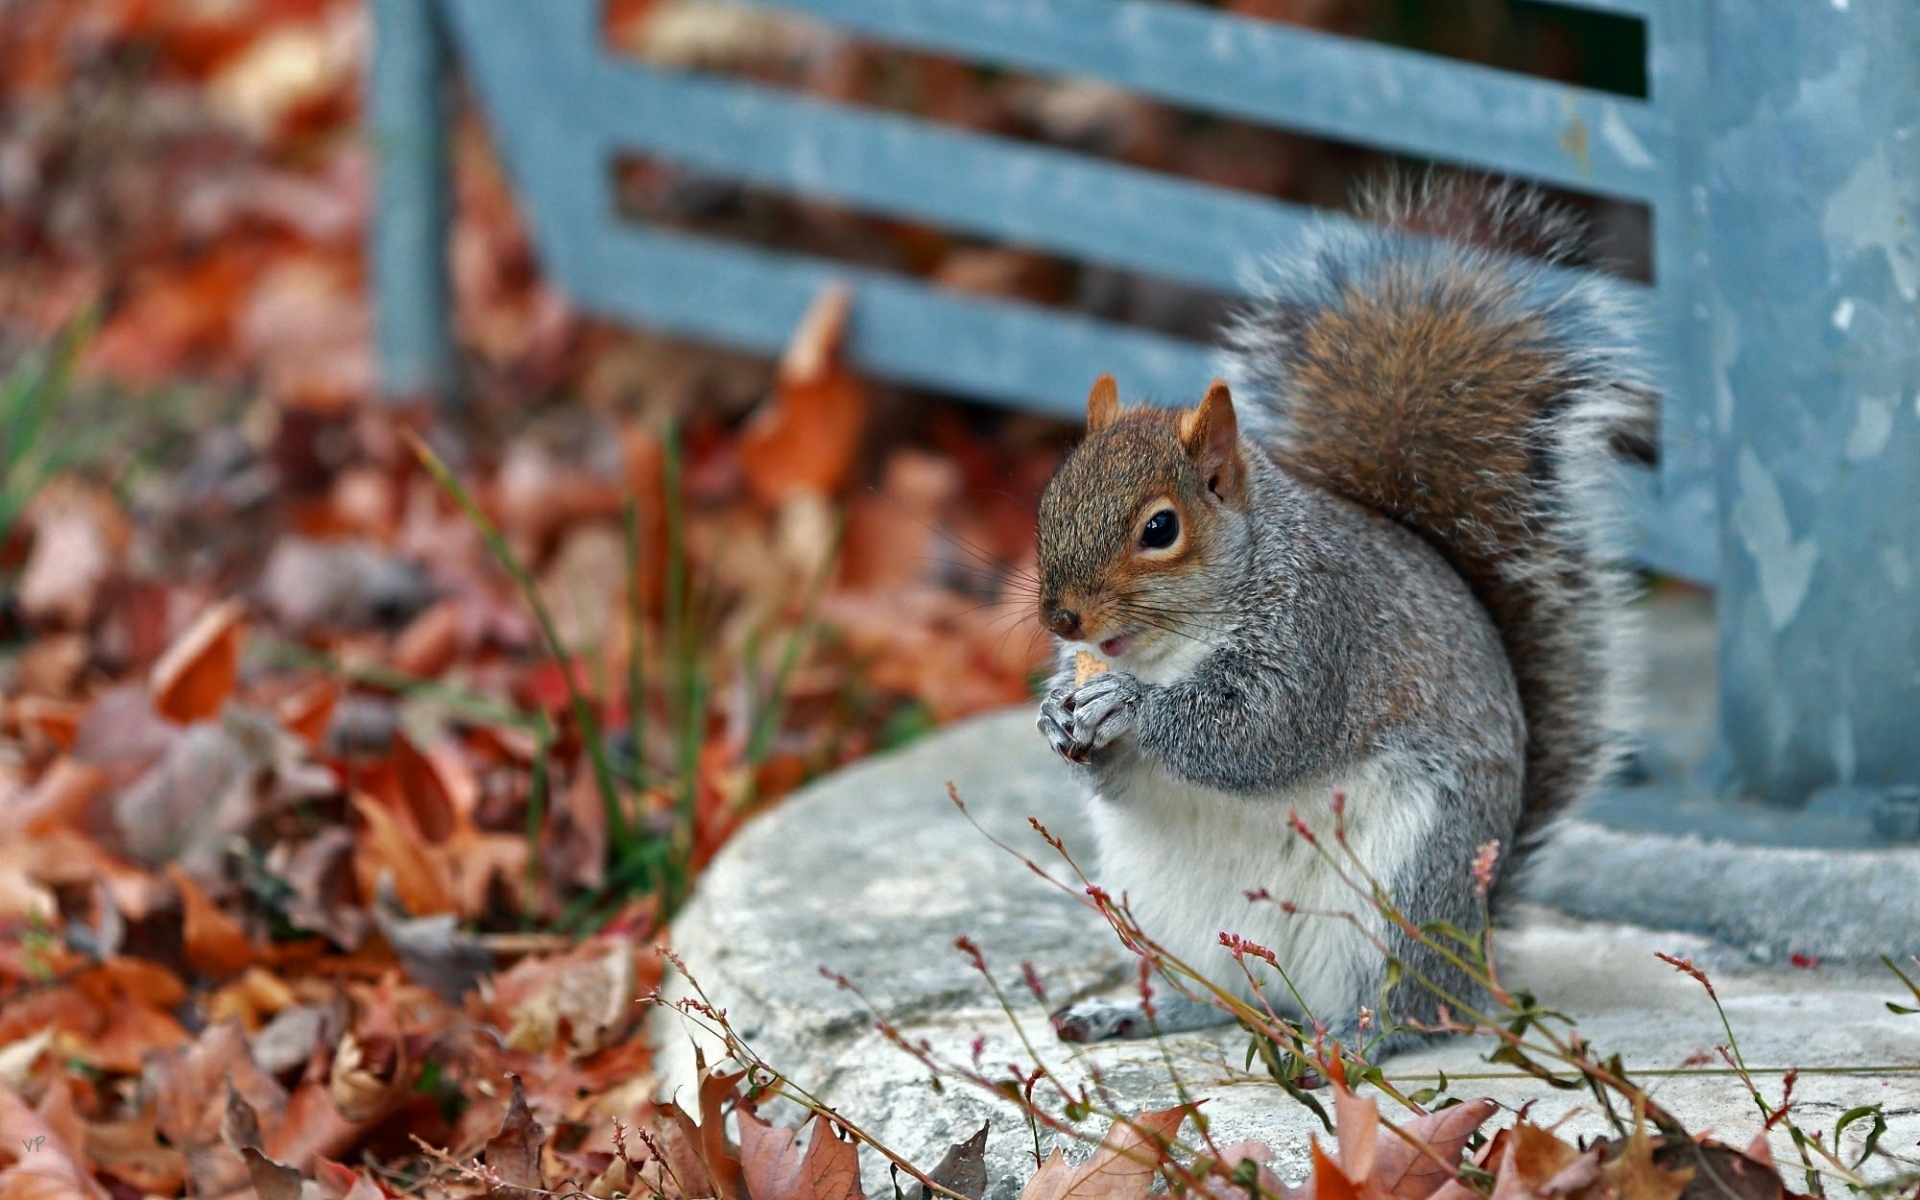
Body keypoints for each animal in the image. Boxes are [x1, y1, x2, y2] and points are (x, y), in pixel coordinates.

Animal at [1036, 175, 1651, 1044]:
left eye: (1160, 529)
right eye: (1048, 500)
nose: (1062, 621)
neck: (1174, 646)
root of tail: (1478, 947)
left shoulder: (1322, 633)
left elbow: (1254, 734)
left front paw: (1127, 706)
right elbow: (1114, 774)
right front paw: (1056, 715)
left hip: (1406, 891)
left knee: (1407, 1006)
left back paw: (1356, 1040)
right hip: (1168, 913)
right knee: (1214, 996)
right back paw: (1133, 1012)